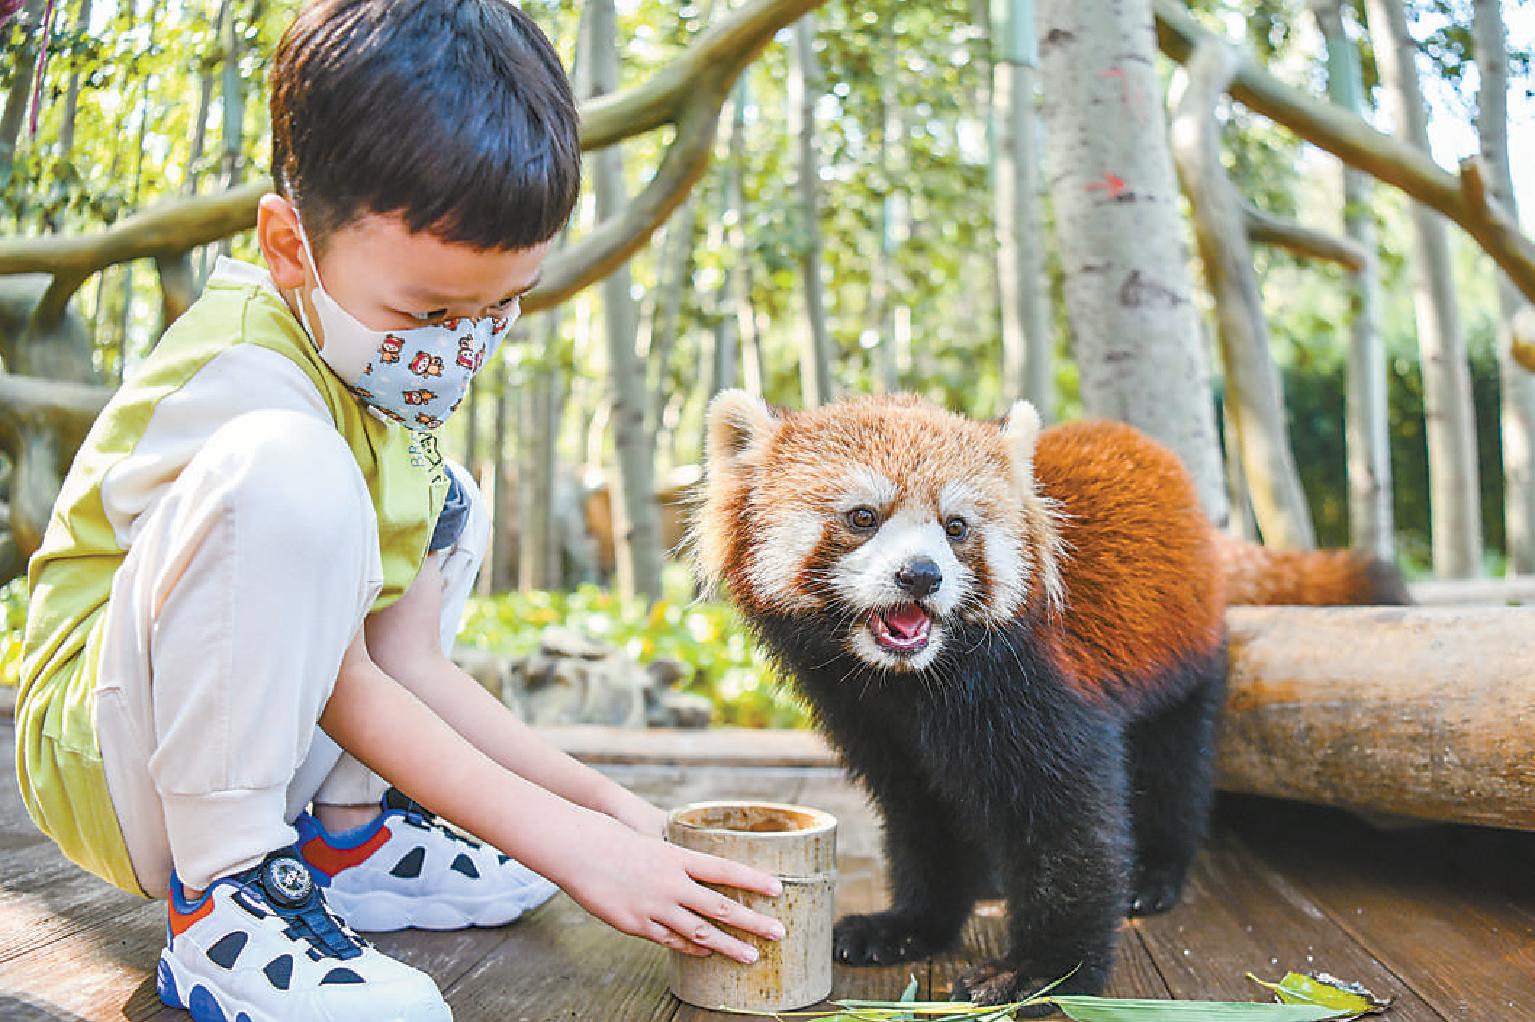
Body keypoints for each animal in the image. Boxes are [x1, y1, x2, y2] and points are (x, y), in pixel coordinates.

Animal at [696, 388, 1406, 1000]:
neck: (912, 684)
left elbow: (1068, 822)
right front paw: (908, 925)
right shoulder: (868, 718)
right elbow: (921, 814)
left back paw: (1156, 873)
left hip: (1184, 655)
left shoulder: (1036, 684)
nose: (921, 576)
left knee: (1174, 767)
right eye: (863, 518)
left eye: (956, 527)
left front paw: (1040, 971)